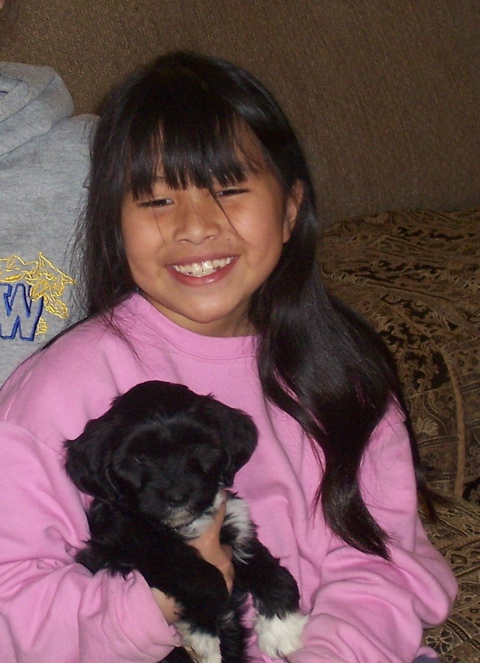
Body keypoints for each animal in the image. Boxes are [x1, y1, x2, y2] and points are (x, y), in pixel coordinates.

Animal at [63, 378, 306, 663]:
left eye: (196, 448)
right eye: (137, 458)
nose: (177, 496)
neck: (179, 525)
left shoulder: (236, 526)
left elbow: (266, 566)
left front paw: (281, 628)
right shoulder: (130, 546)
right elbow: (201, 574)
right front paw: (204, 634)